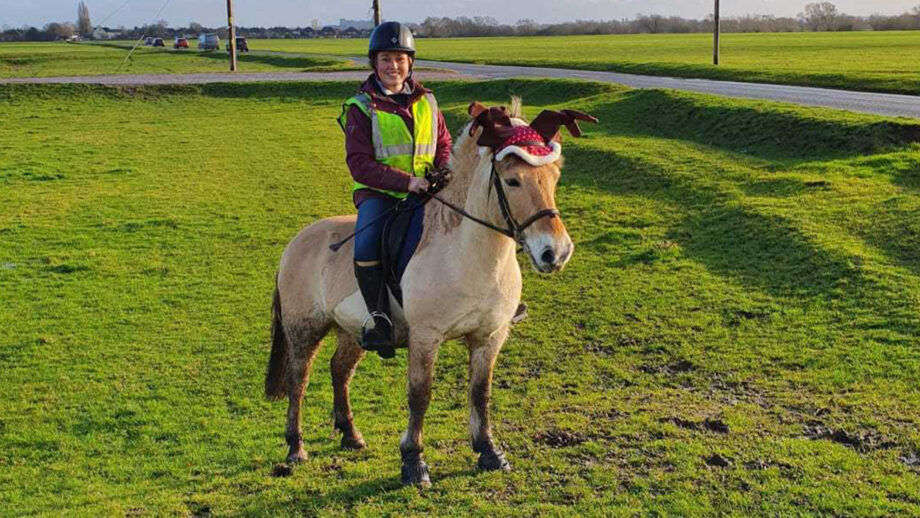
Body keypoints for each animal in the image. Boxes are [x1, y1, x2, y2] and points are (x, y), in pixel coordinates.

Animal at [264, 98, 596, 487]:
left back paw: (350, 435)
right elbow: (420, 396)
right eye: (513, 180)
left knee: (339, 371)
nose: (555, 253)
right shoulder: (425, 337)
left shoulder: (489, 336)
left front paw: (489, 451)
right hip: (304, 329)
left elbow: (480, 393)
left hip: (353, 331)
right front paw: (413, 461)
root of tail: (296, 242)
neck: (468, 256)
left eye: (554, 178)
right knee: (298, 380)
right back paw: (295, 447)